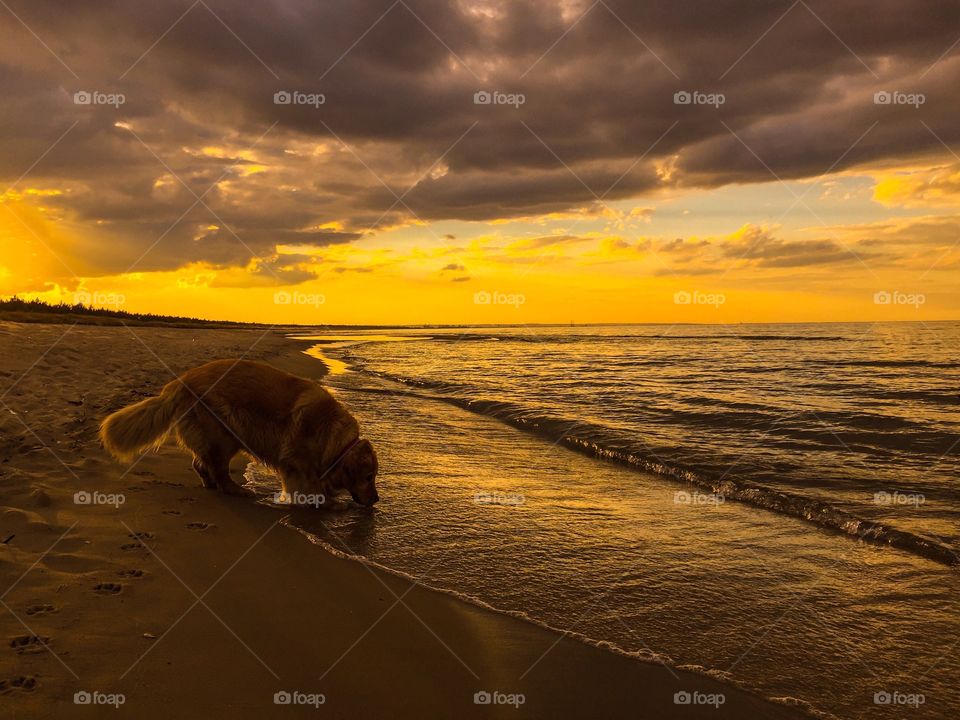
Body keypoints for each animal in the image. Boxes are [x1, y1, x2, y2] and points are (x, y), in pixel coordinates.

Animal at [99, 360, 378, 506]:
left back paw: (211, 483)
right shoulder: (297, 462)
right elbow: (309, 487)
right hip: (225, 434)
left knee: (201, 464)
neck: (335, 440)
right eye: (368, 477)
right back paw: (234, 489)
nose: (376, 500)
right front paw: (326, 503)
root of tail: (180, 381)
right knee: (218, 468)